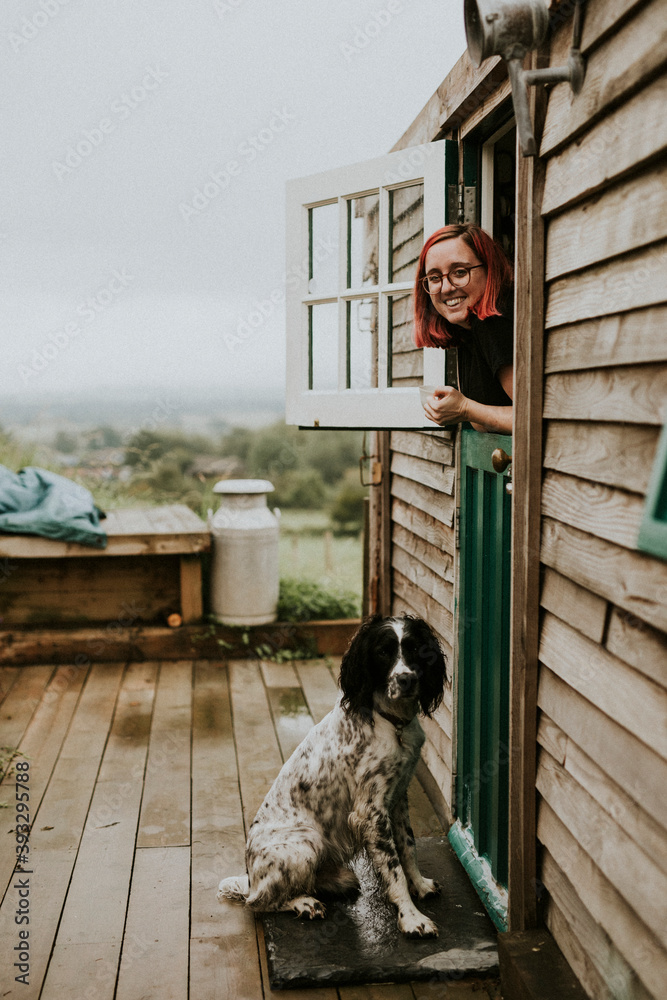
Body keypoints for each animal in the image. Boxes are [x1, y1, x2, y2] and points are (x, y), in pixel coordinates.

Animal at [219, 612, 448, 932]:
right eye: (383, 652)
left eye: (414, 648)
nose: (407, 679)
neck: (391, 722)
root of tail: (250, 876)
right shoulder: (371, 811)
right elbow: (394, 868)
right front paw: (412, 917)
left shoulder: (398, 797)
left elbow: (408, 848)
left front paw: (421, 885)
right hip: (306, 843)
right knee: (259, 902)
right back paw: (305, 903)